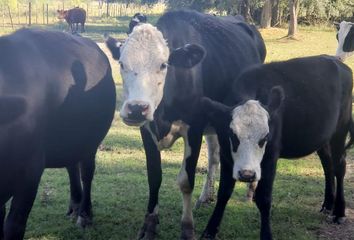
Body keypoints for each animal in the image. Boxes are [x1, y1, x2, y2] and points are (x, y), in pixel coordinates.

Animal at [0, 28, 116, 240]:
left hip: (90, 143)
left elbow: (14, 224)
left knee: (87, 172)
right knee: (72, 166)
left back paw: (84, 214)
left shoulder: (31, 170)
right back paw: (74, 206)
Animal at [105, 10, 266, 239]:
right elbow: (154, 176)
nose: (136, 108)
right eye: (121, 64)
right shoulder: (147, 130)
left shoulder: (194, 128)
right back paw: (206, 196)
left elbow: (186, 180)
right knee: (214, 156)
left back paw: (250, 190)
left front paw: (187, 228)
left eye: (163, 65)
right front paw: (149, 225)